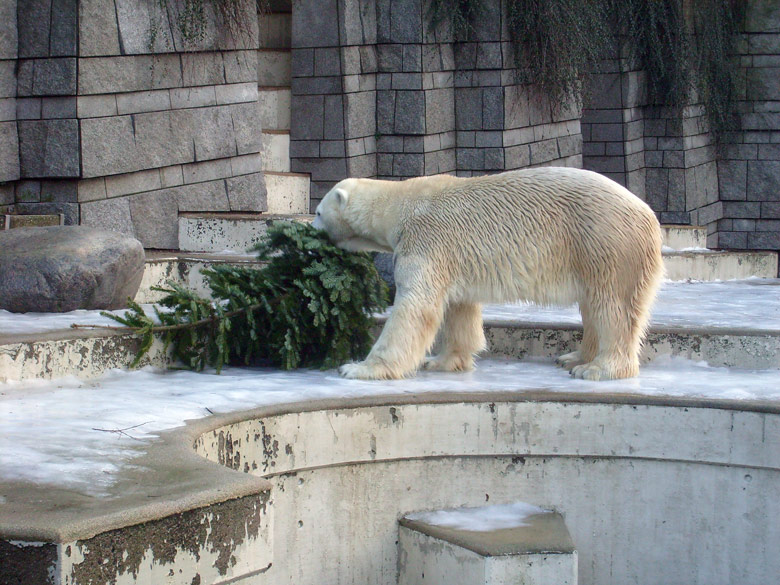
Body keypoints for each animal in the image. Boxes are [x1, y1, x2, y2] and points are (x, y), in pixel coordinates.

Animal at [312, 167, 664, 380]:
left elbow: (415, 308)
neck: (400, 206)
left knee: (612, 308)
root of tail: (649, 216)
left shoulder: (425, 240)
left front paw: (359, 368)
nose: (312, 231)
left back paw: (597, 368)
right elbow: (459, 309)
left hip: (606, 242)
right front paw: (442, 361)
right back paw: (574, 357)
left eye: (317, 211)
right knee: (592, 305)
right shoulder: (451, 257)